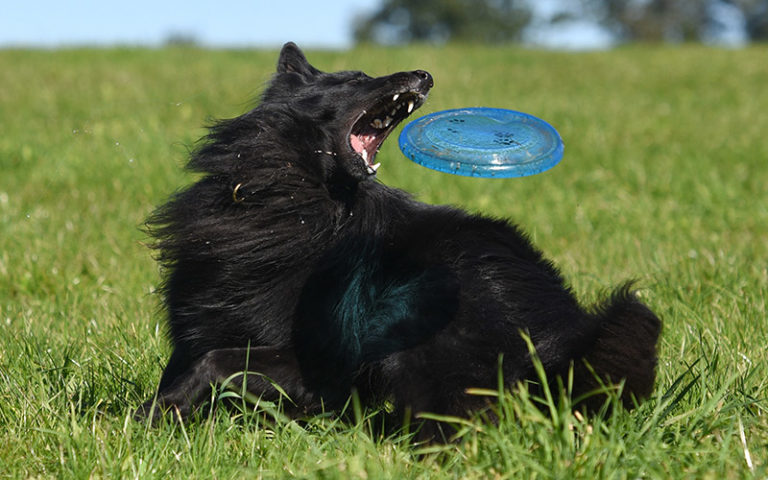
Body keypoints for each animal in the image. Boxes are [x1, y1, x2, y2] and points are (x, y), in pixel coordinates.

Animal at [141, 44, 664, 438]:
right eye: (356, 77)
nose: (425, 74)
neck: (300, 196)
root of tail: (562, 335)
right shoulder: (197, 322)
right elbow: (190, 361)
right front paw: (149, 416)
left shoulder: (320, 368)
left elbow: (217, 361)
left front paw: (165, 410)